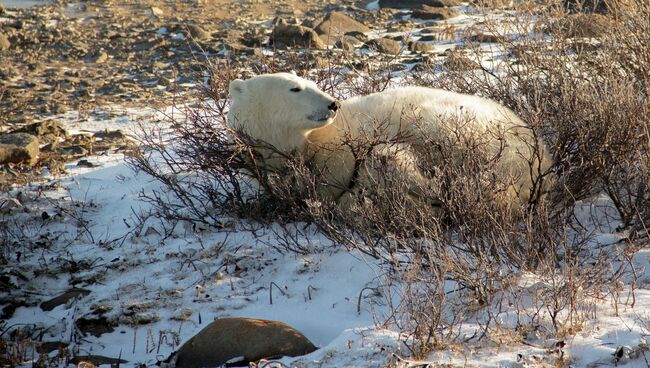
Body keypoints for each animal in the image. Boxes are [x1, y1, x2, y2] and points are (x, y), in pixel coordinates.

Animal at [225, 72, 548, 213]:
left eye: (313, 83)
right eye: (295, 88)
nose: (333, 104)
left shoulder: (350, 139)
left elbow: (372, 161)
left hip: (463, 127)